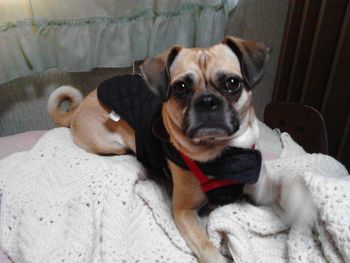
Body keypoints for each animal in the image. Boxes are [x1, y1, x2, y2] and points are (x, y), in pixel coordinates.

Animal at [47, 36, 316, 263]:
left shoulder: (257, 185)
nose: (208, 101)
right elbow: (207, 247)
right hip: (110, 144)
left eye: (232, 83)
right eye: (182, 88)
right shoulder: (184, 212)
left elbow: (283, 185)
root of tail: (80, 105)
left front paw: (302, 203)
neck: (225, 154)